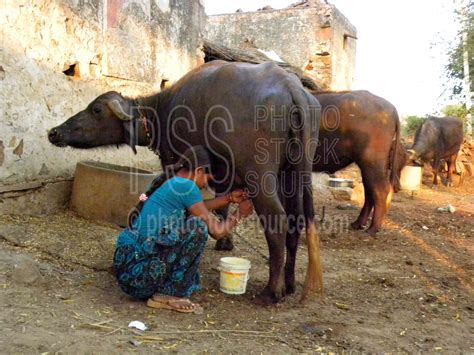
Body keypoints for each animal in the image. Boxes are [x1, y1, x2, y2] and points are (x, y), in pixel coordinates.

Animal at [48, 60, 322, 304]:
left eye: (96, 110)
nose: (54, 132)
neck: (162, 109)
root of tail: (292, 88)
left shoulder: (173, 161)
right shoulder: (225, 172)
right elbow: (223, 204)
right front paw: (225, 242)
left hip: (261, 176)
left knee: (277, 221)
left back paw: (272, 292)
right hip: (295, 173)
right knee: (295, 221)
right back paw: (289, 284)